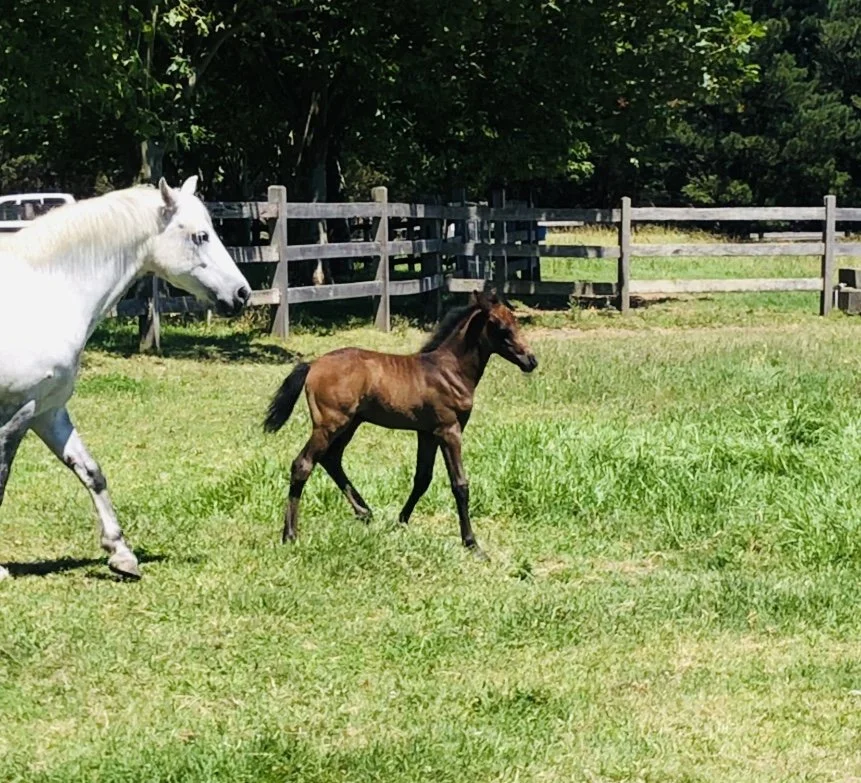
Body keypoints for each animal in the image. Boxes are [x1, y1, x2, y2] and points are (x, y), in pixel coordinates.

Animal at [0, 177, 251, 580]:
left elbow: (90, 471)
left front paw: (121, 554)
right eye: (200, 236)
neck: (45, 294)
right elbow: (2, 478)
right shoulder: (17, 411)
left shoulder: (47, 409)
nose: (242, 293)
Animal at [263, 290, 538, 558]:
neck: (450, 370)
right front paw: (472, 544)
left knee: (331, 459)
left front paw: (401, 521)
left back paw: (364, 511)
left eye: (516, 322)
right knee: (303, 464)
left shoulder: (427, 433)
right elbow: (460, 484)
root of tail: (313, 365)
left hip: (350, 424)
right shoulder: (449, 431)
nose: (531, 361)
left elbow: (422, 478)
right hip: (329, 424)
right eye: (501, 327)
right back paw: (290, 535)